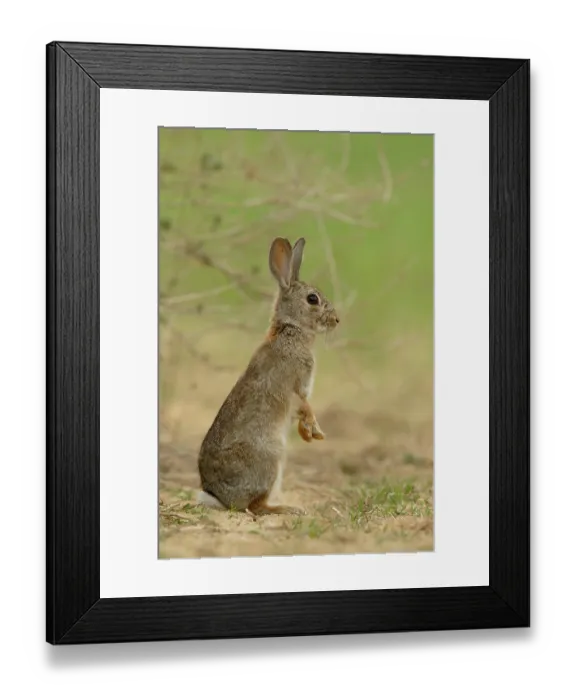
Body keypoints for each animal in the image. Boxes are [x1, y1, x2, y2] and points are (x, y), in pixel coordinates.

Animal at [197, 236, 340, 517]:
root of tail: (219, 496)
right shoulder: (297, 385)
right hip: (272, 458)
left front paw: (308, 435)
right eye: (312, 299)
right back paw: (288, 509)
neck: (290, 330)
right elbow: (306, 407)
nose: (336, 320)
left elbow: (301, 414)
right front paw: (316, 433)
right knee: (255, 506)